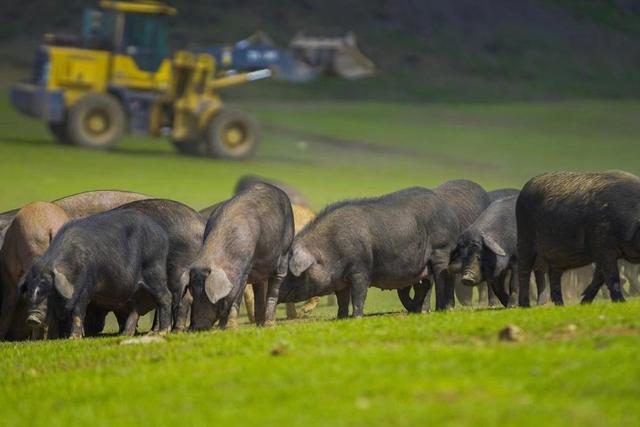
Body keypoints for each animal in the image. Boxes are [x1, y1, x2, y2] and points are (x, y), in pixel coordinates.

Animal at [23, 209, 172, 340]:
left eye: (50, 291)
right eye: (30, 291)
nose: (32, 318)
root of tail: (162, 235)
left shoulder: (85, 287)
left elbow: (77, 312)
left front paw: (73, 338)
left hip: (154, 271)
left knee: (165, 297)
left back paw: (161, 333)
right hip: (135, 291)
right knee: (135, 310)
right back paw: (124, 335)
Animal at [188, 185, 292, 332]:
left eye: (206, 294)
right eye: (193, 292)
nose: (195, 328)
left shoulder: (244, 272)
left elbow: (235, 299)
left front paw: (230, 328)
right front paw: (221, 328)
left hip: (285, 251)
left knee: (275, 286)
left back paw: (269, 325)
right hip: (259, 272)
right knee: (259, 288)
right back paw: (259, 325)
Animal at [278, 187, 462, 318]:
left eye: (288, 273)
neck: (330, 249)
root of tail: (447, 210)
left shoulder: (360, 269)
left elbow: (358, 294)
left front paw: (356, 317)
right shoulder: (340, 280)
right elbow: (342, 299)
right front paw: (340, 318)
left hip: (441, 250)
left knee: (442, 279)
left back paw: (442, 309)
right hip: (422, 267)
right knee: (426, 285)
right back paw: (421, 311)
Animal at [516, 171, 640, 308]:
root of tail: (525, 188)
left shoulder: (602, 253)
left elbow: (599, 277)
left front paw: (584, 302)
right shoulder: (604, 247)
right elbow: (612, 275)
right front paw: (621, 302)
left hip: (555, 255)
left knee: (551, 273)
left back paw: (558, 305)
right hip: (525, 239)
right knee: (524, 270)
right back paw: (525, 306)